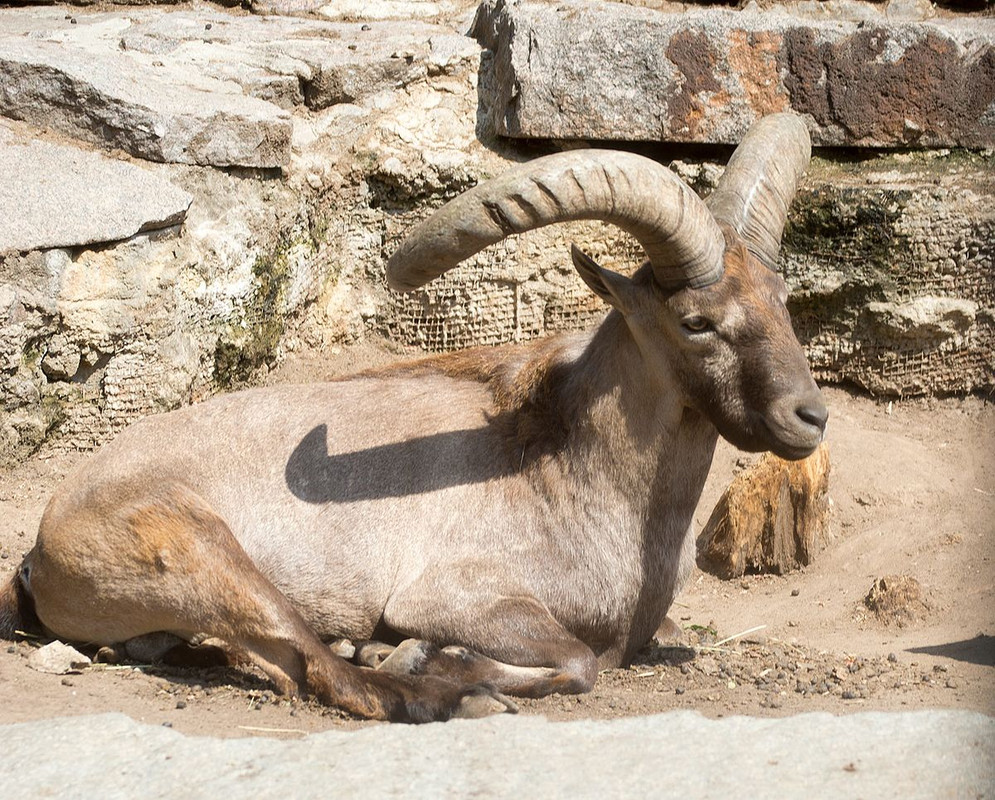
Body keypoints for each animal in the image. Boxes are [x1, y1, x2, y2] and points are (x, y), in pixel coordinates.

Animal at [0, 114, 824, 724]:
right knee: (319, 670)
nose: (808, 415)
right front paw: (430, 656)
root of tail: (43, 545)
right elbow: (579, 660)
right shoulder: (456, 593)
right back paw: (435, 690)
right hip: (199, 548)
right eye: (695, 321)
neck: (575, 477)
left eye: (782, 299)